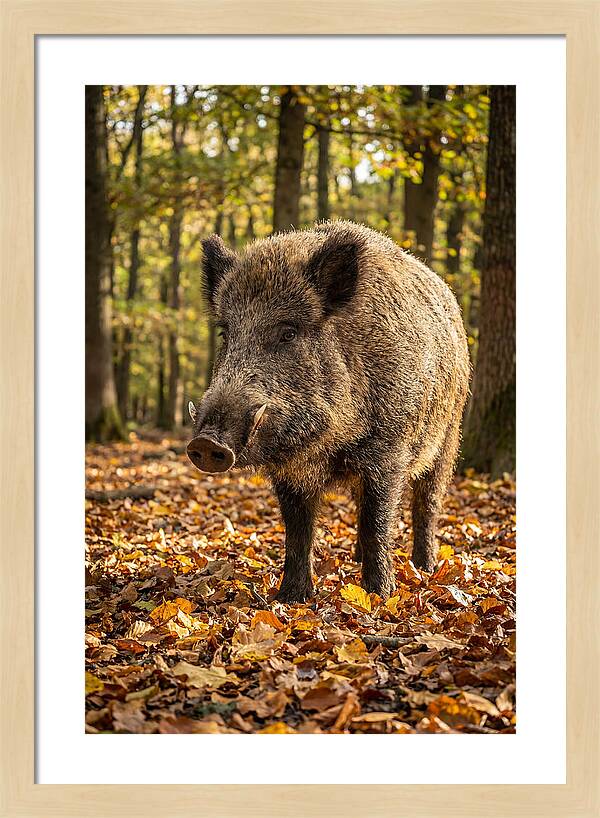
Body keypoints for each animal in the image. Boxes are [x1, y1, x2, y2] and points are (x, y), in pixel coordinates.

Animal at [187, 221, 470, 603]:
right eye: (225, 333)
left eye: (288, 332)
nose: (205, 443)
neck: (326, 445)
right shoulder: (289, 472)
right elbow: (298, 531)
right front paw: (291, 598)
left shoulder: (389, 451)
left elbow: (377, 522)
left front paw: (379, 596)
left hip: (449, 434)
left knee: (427, 502)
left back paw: (424, 567)